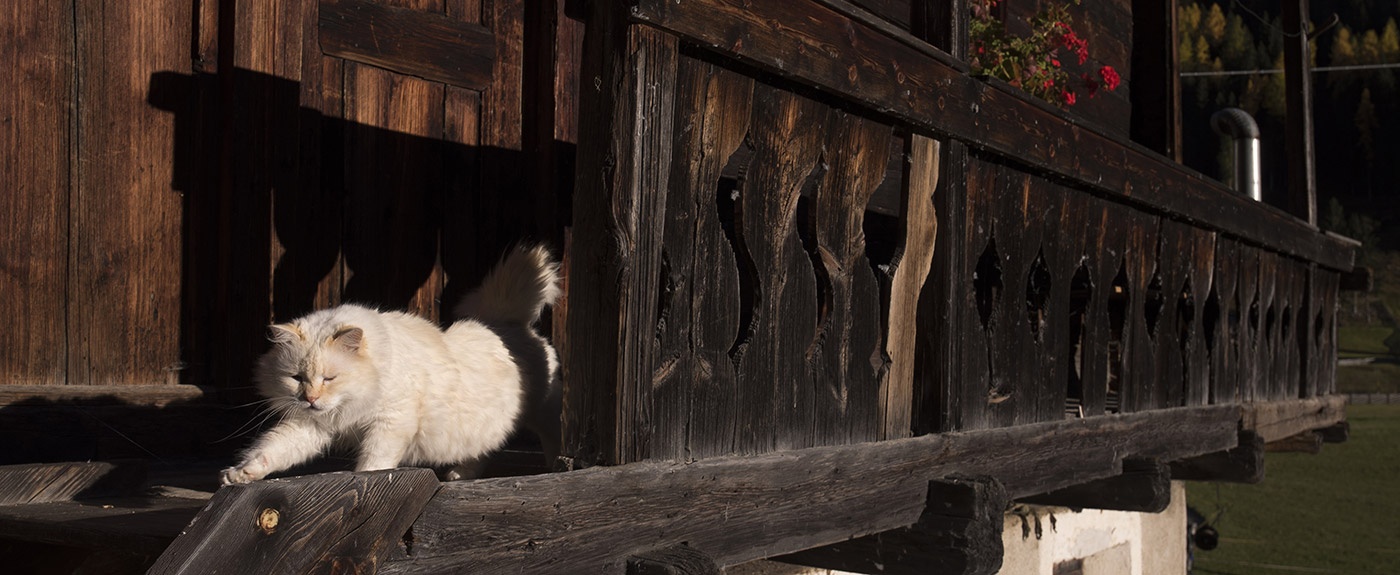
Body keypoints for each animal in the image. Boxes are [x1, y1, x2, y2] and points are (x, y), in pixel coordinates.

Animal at [221, 244, 560, 484]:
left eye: (329, 379)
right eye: (296, 378)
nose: (310, 399)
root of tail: (503, 322)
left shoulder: (390, 422)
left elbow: (374, 461)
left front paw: (363, 482)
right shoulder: (313, 425)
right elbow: (272, 449)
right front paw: (241, 473)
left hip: (543, 414)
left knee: (549, 437)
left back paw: (557, 466)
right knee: (483, 452)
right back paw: (459, 475)